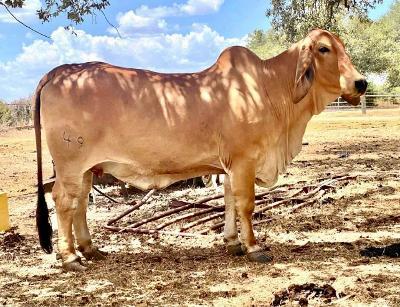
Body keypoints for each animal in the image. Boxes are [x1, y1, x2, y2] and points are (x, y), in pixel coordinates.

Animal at [34, 29, 366, 272]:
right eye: (323, 49)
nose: (361, 83)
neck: (271, 88)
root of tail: (58, 72)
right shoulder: (245, 161)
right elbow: (246, 204)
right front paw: (254, 247)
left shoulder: (229, 166)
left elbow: (229, 201)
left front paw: (233, 243)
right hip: (70, 165)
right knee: (63, 201)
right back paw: (71, 258)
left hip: (87, 169)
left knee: (79, 205)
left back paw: (90, 249)